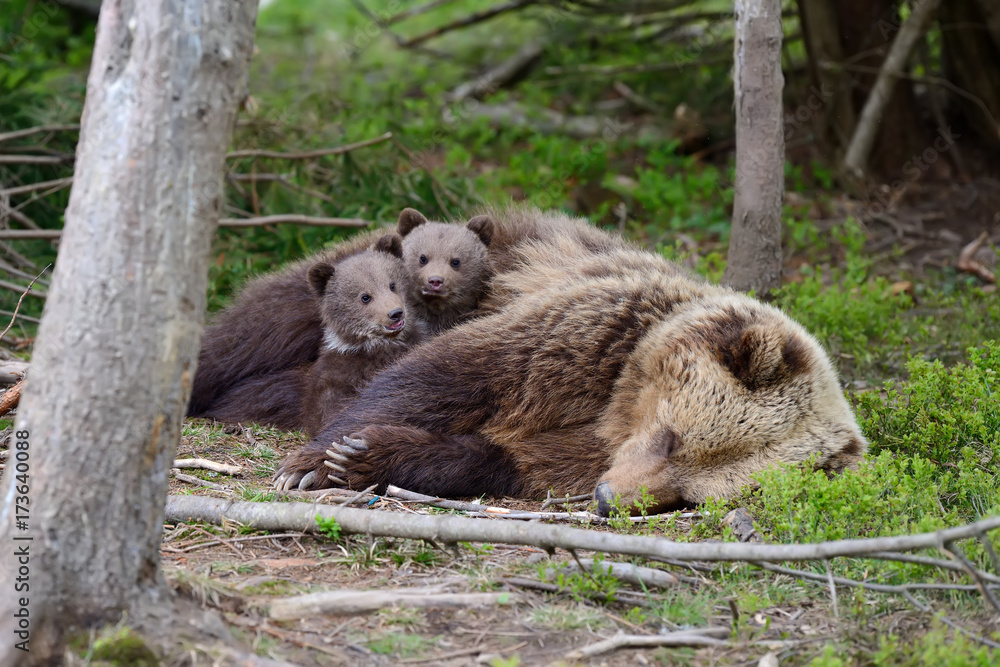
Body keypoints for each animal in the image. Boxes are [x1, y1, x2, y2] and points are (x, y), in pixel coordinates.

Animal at [276, 209, 868, 516]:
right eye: (671, 437)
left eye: (690, 497)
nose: (607, 499)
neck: (619, 404)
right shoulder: (591, 332)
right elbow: (450, 376)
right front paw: (317, 462)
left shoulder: (586, 448)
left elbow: (505, 458)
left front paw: (371, 456)